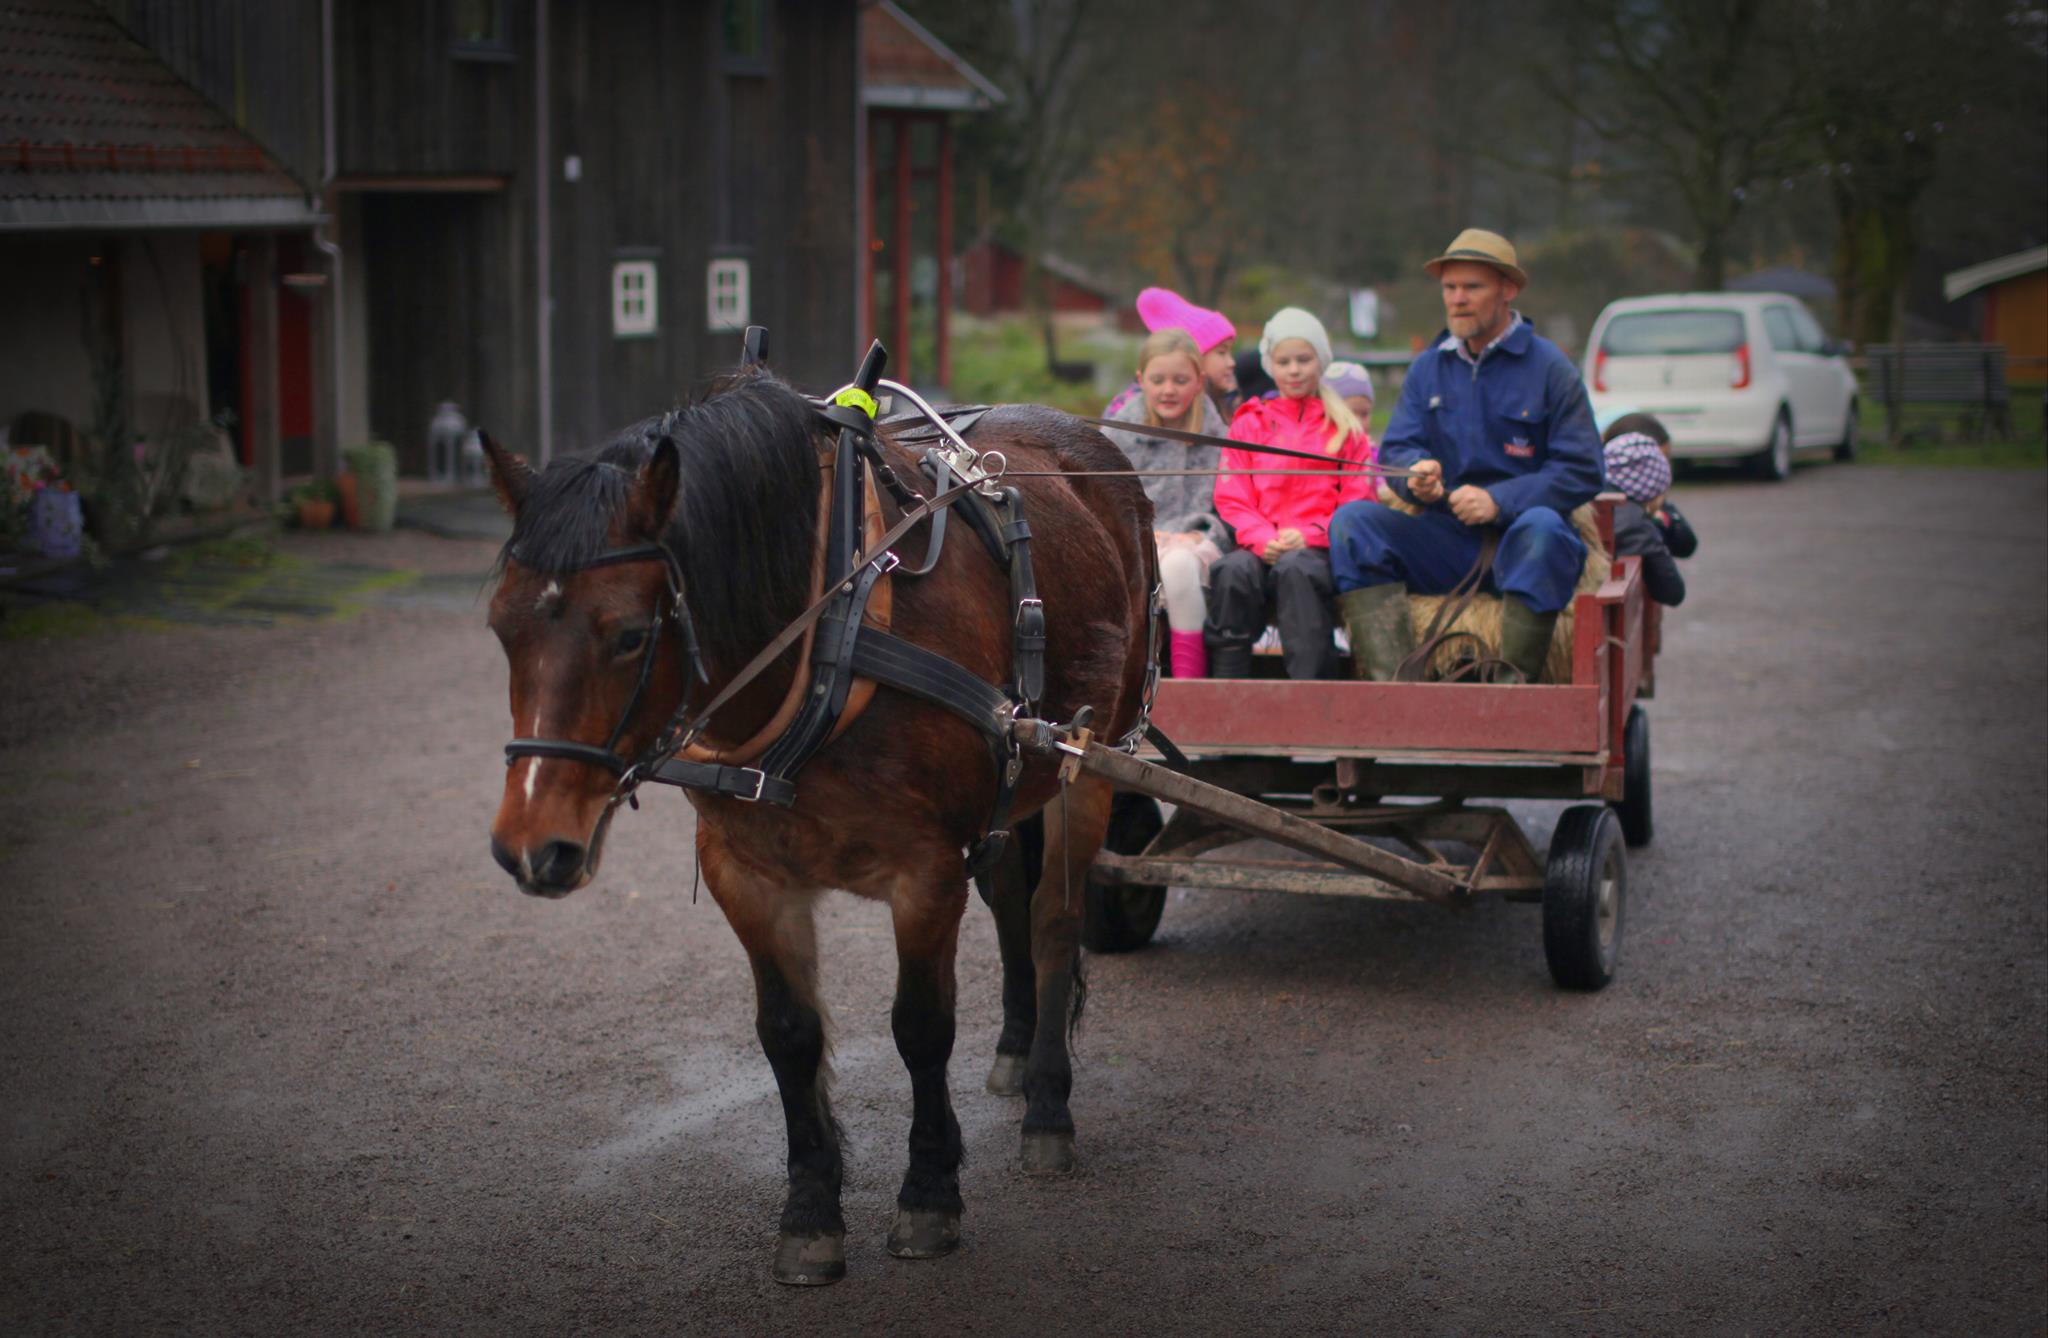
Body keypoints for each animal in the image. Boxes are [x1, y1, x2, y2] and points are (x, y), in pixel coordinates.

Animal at [479, 367, 1156, 1284]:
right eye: (501, 626)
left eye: (628, 635)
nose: (530, 846)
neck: (838, 629)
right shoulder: (746, 873)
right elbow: (789, 1035)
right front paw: (808, 1212)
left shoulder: (924, 872)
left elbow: (921, 1028)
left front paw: (929, 1195)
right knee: (1012, 896)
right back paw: (1017, 1052)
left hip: (1090, 758)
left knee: (1055, 921)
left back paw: (1048, 1104)